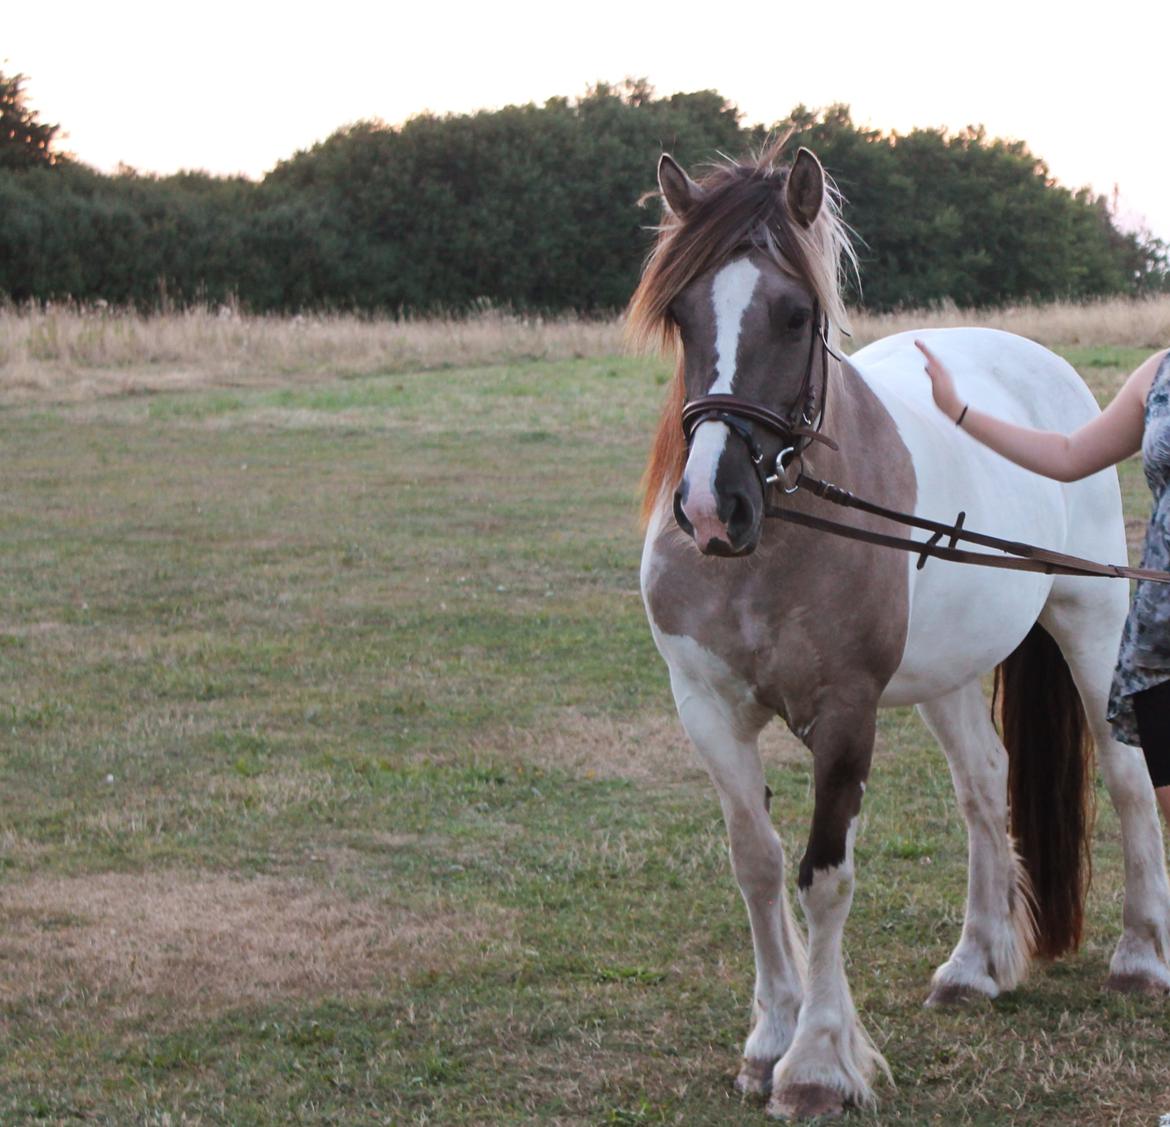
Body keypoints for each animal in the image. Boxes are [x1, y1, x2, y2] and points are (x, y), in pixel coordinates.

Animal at [627, 143, 1170, 1118]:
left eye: (796, 314)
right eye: (681, 313)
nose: (711, 507)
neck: (779, 543)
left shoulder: (847, 713)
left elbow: (824, 875)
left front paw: (815, 1063)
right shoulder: (707, 708)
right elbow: (757, 862)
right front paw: (768, 1039)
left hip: (1093, 617)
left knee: (1126, 777)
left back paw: (1141, 955)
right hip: (949, 673)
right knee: (983, 787)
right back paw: (975, 964)